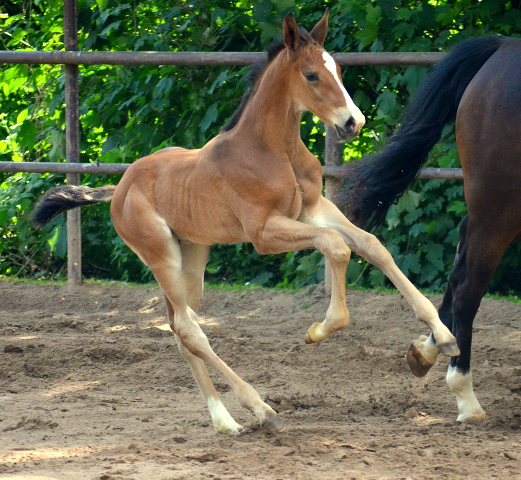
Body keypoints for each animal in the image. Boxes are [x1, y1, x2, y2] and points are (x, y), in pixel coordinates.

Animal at [32, 11, 458, 434]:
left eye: (337, 69)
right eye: (311, 75)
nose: (354, 122)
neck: (272, 149)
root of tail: (120, 186)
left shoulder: (314, 207)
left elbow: (371, 245)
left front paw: (442, 337)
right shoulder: (263, 233)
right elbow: (334, 246)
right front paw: (319, 329)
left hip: (193, 257)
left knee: (179, 328)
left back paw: (223, 420)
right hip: (160, 255)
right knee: (189, 327)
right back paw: (260, 409)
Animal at [346, 35, 520, 422]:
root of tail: (503, 47)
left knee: (458, 270)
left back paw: (430, 349)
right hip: (499, 207)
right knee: (468, 287)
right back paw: (465, 396)